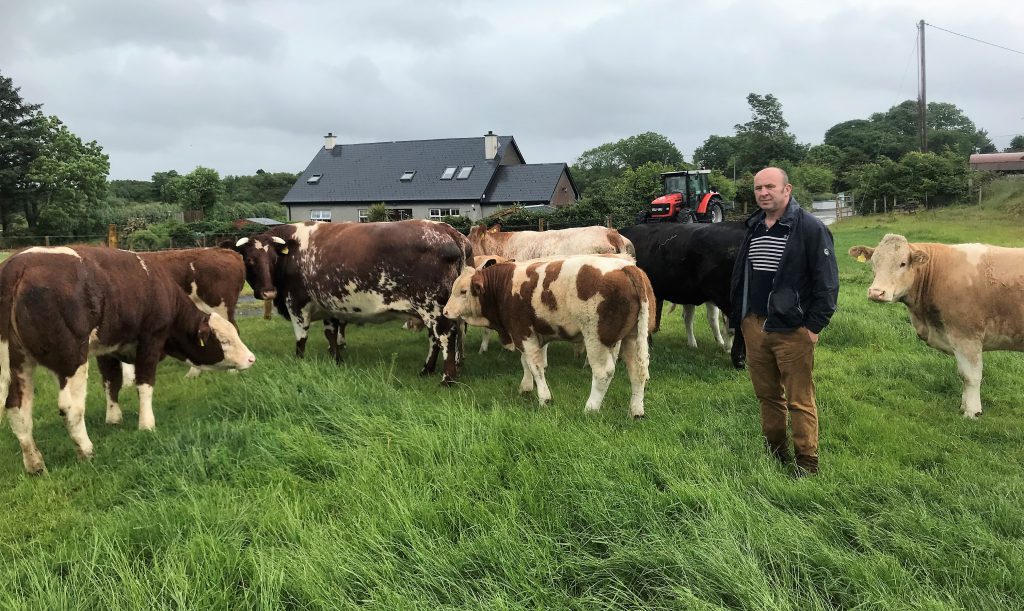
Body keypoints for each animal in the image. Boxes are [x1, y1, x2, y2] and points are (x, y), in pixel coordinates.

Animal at [0, 246, 256, 474]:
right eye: (224, 341)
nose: (251, 359)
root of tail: (17, 265)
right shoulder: (151, 339)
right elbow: (144, 384)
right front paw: (147, 425)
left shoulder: (107, 348)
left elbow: (112, 382)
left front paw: (114, 418)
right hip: (72, 360)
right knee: (71, 407)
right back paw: (86, 449)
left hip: (18, 362)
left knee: (17, 409)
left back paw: (34, 463)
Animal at [228, 220, 471, 383]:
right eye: (249, 259)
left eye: (273, 258)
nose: (268, 292)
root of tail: (448, 230)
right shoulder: (329, 307)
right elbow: (331, 334)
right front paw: (335, 359)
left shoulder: (296, 303)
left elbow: (301, 337)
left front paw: (299, 361)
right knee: (435, 339)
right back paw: (426, 370)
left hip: (434, 308)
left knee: (445, 337)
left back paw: (447, 378)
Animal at [442, 255, 655, 417]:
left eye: (463, 291)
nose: (445, 312)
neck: (504, 286)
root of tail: (626, 267)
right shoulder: (528, 335)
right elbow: (526, 363)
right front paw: (526, 387)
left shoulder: (523, 333)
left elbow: (536, 366)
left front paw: (544, 398)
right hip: (631, 337)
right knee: (637, 371)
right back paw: (636, 411)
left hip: (596, 338)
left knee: (603, 373)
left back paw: (590, 408)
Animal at [850, 233, 1024, 418]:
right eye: (874, 262)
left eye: (902, 263)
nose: (876, 292)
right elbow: (963, 375)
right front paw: (964, 407)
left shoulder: (967, 336)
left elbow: (971, 376)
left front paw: (972, 412)